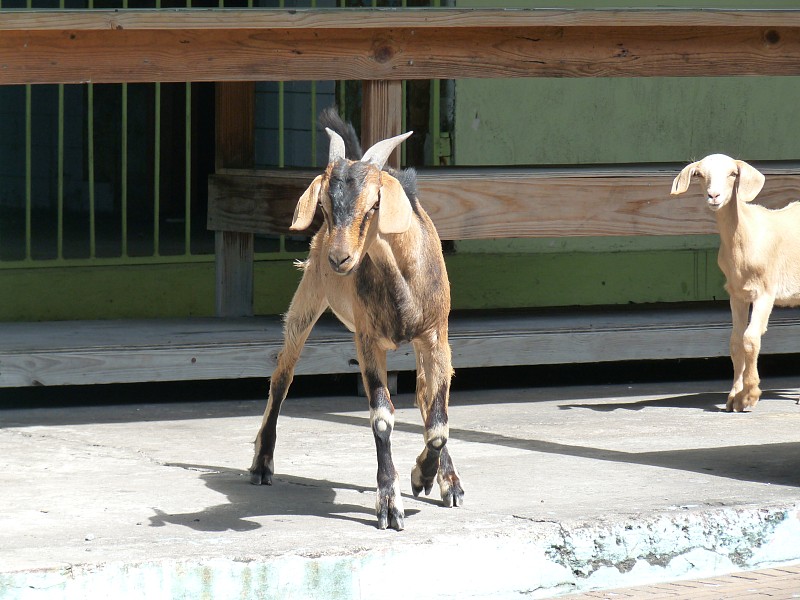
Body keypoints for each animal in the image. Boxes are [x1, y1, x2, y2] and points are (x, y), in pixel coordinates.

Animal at [248, 109, 462, 528]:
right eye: (325, 208)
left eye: (373, 206)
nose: (340, 259)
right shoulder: (366, 340)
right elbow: (381, 417)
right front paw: (391, 503)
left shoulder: (436, 334)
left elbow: (438, 422)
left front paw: (425, 476)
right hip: (308, 297)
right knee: (282, 376)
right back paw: (262, 464)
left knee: (427, 397)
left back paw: (449, 482)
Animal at [672, 152, 800, 410]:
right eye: (699, 174)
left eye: (733, 173)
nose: (714, 196)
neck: (746, 233)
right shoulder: (737, 293)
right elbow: (735, 342)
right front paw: (733, 397)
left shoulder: (765, 292)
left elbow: (750, 338)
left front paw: (749, 395)